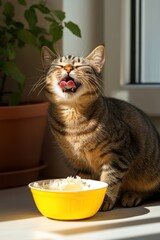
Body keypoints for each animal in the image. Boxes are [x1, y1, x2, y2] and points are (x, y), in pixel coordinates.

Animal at [39, 45, 160, 210]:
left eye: (79, 65)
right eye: (59, 65)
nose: (68, 68)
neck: (73, 118)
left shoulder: (118, 154)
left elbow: (110, 180)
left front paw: (105, 200)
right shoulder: (78, 162)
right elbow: (87, 180)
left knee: (152, 190)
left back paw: (133, 195)